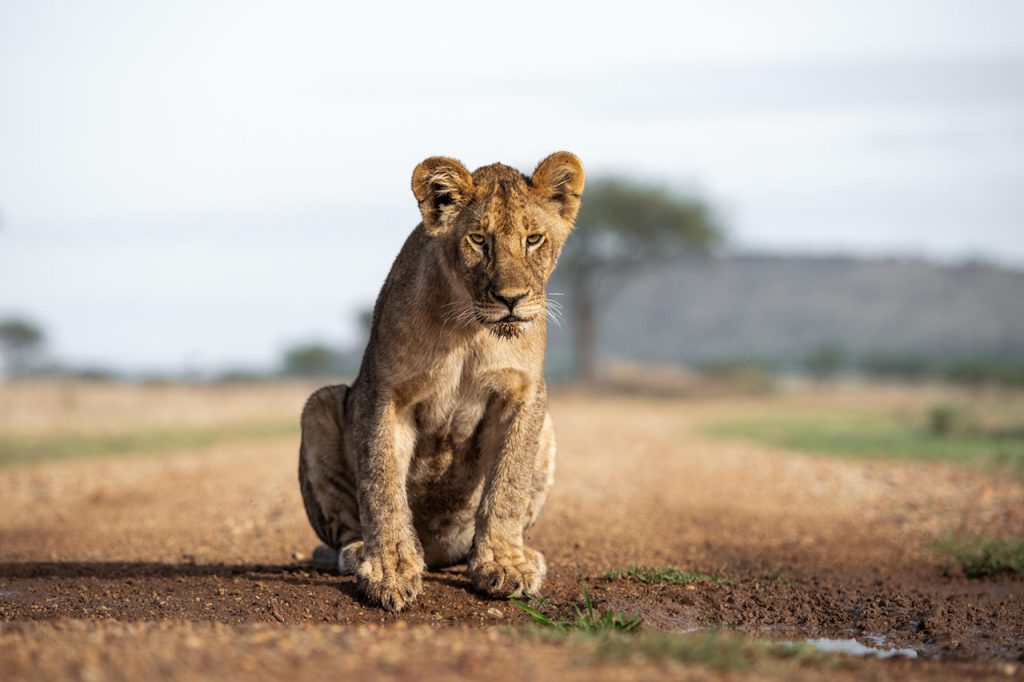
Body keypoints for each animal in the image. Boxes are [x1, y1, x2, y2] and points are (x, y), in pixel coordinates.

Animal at [298, 152, 584, 611]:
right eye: (479, 239)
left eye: (534, 239)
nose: (511, 299)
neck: (470, 330)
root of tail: (436, 553)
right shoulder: (385, 391)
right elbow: (381, 482)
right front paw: (390, 569)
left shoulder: (524, 393)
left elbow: (508, 485)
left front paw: (503, 563)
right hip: (319, 404)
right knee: (344, 531)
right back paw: (361, 553)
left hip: (548, 429)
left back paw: (521, 554)